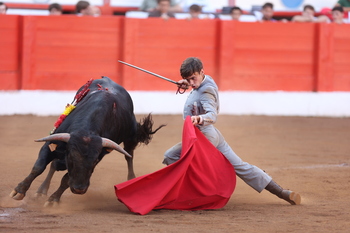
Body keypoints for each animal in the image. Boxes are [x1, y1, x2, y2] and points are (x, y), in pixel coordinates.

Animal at [9, 76, 165, 206]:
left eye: (95, 161)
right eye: (71, 157)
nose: (79, 189)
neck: (86, 131)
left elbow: (66, 179)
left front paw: (53, 200)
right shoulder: (51, 145)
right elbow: (38, 167)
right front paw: (19, 191)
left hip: (130, 137)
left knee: (129, 156)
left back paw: (131, 179)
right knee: (54, 164)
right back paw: (41, 191)